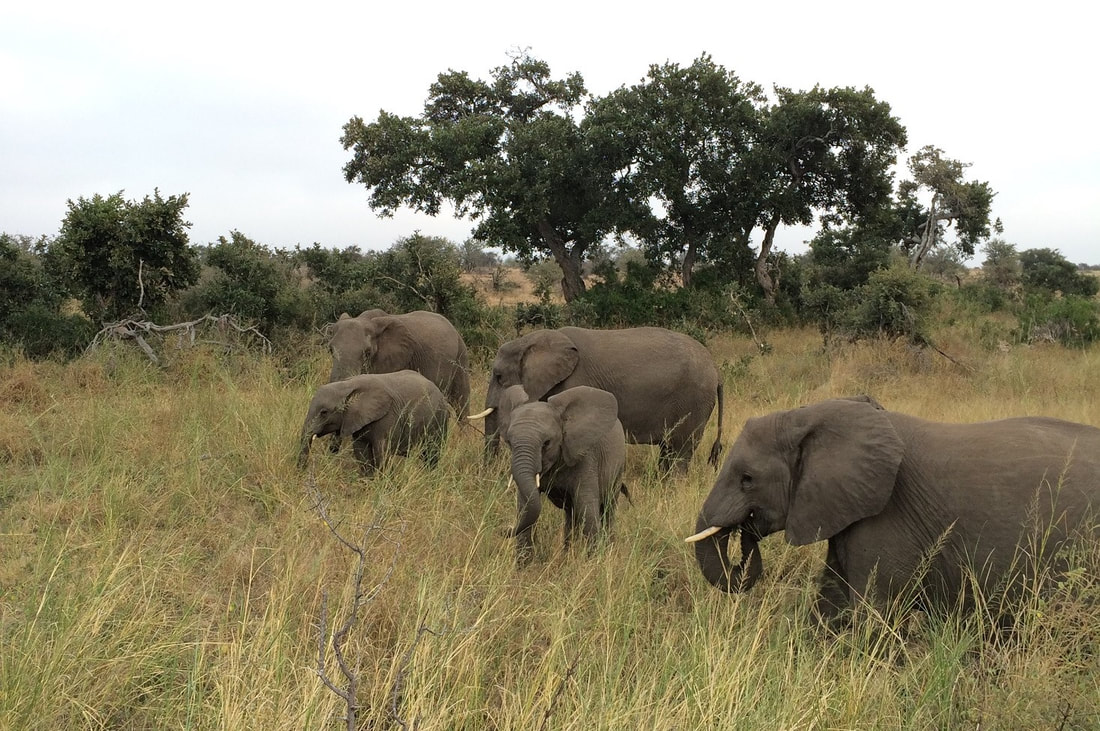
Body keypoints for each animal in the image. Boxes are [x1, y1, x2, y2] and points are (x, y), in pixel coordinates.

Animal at [298, 371, 450, 475]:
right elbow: (361, 452)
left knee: (432, 454)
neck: (347, 385)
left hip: (438, 419)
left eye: (324, 412)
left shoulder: (388, 417)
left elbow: (382, 452)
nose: (303, 471)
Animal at [472, 326, 724, 472]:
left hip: (694, 402)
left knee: (680, 451)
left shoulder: (574, 382)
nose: (489, 475)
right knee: (668, 450)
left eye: (499, 376)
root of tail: (716, 369)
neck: (534, 340)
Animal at [502, 386, 627, 563]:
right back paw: (567, 555)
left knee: (608, 509)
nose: (503, 529)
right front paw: (522, 567)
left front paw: (593, 564)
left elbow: (587, 510)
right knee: (571, 514)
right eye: (509, 442)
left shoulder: (585, 457)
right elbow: (525, 508)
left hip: (619, 467)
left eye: (547, 443)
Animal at [686, 398, 1100, 624]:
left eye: (747, 479)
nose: (746, 535)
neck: (814, 417)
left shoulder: (887, 515)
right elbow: (831, 604)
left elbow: (875, 614)